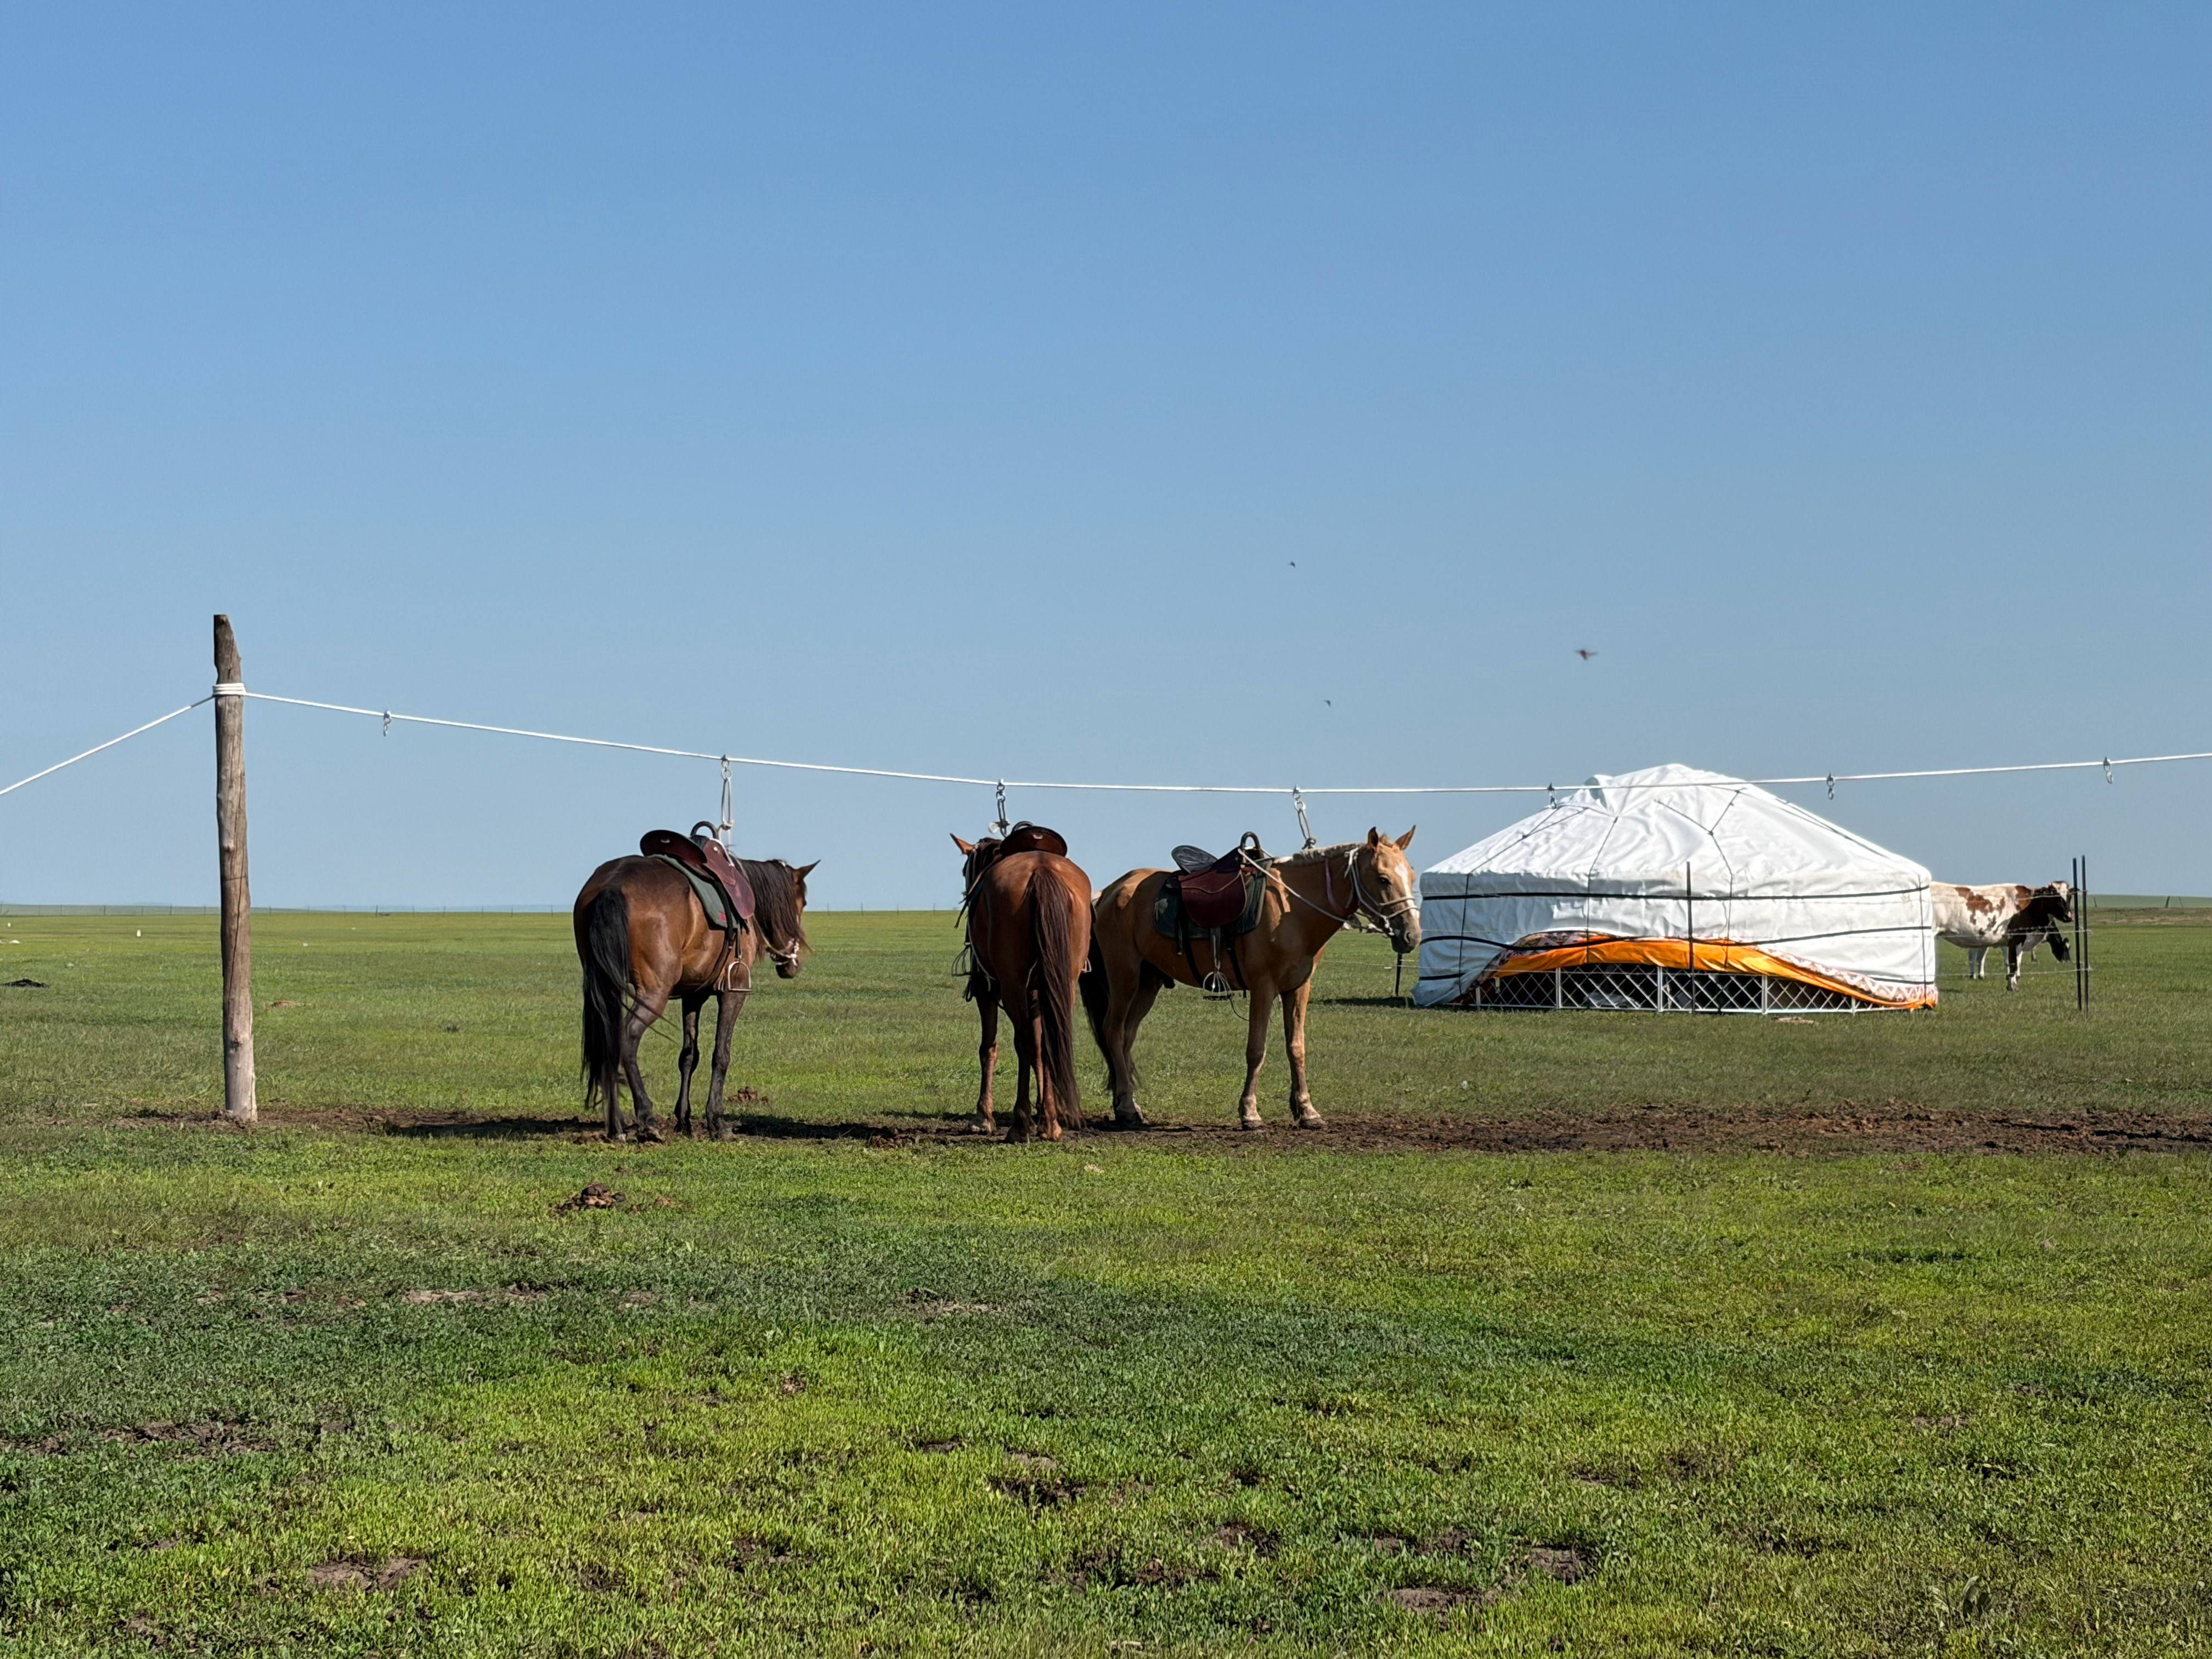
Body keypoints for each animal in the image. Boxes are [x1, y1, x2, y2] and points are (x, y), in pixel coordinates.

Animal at [572, 846, 814, 1142]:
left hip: (606, 987)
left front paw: (684, 1120)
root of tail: (613, 883)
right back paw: (647, 1118)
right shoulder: (734, 992)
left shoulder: (692, 995)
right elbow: (721, 1055)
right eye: (802, 903)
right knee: (627, 1038)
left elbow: (689, 1055)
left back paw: (616, 1126)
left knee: (609, 1041)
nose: (793, 963)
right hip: (654, 994)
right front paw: (716, 1121)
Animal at [951, 824, 1090, 1141]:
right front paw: (1044, 1111)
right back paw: (1050, 1124)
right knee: (1049, 1040)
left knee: (1024, 1042)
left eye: (966, 868)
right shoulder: (1038, 991)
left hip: (1012, 983)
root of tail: (1041, 870)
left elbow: (990, 1047)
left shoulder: (986, 990)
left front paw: (983, 1116)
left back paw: (1020, 1124)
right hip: (1064, 982)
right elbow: (1040, 1049)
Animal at [1084, 829, 1420, 1131]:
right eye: (1383, 878)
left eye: (1413, 876)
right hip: (1125, 977)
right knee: (1112, 1031)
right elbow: (1256, 1050)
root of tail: (1110, 892)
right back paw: (1126, 1108)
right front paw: (1250, 1113)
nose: (1412, 935)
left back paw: (1127, 1103)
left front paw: (1307, 1111)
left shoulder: (1298, 989)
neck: (1293, 910)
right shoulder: (1263, 987)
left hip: (1147, 983)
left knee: (1126, 1037)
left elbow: (1297, 1047)